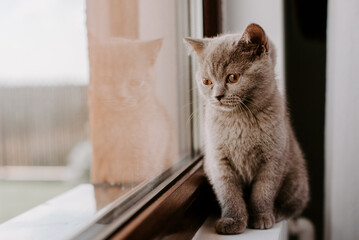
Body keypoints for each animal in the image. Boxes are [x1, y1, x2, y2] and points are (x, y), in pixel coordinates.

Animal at [186, 23, 310, 233]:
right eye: (207, 82)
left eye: (233, 77)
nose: (217, 96)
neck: (238, 121)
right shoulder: (218, 161)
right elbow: (229, 193)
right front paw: (233, 220)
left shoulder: (273, 159)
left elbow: (263, 191)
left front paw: (261, 217)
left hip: (296, 179)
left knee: (293, 206)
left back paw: (277, 213)